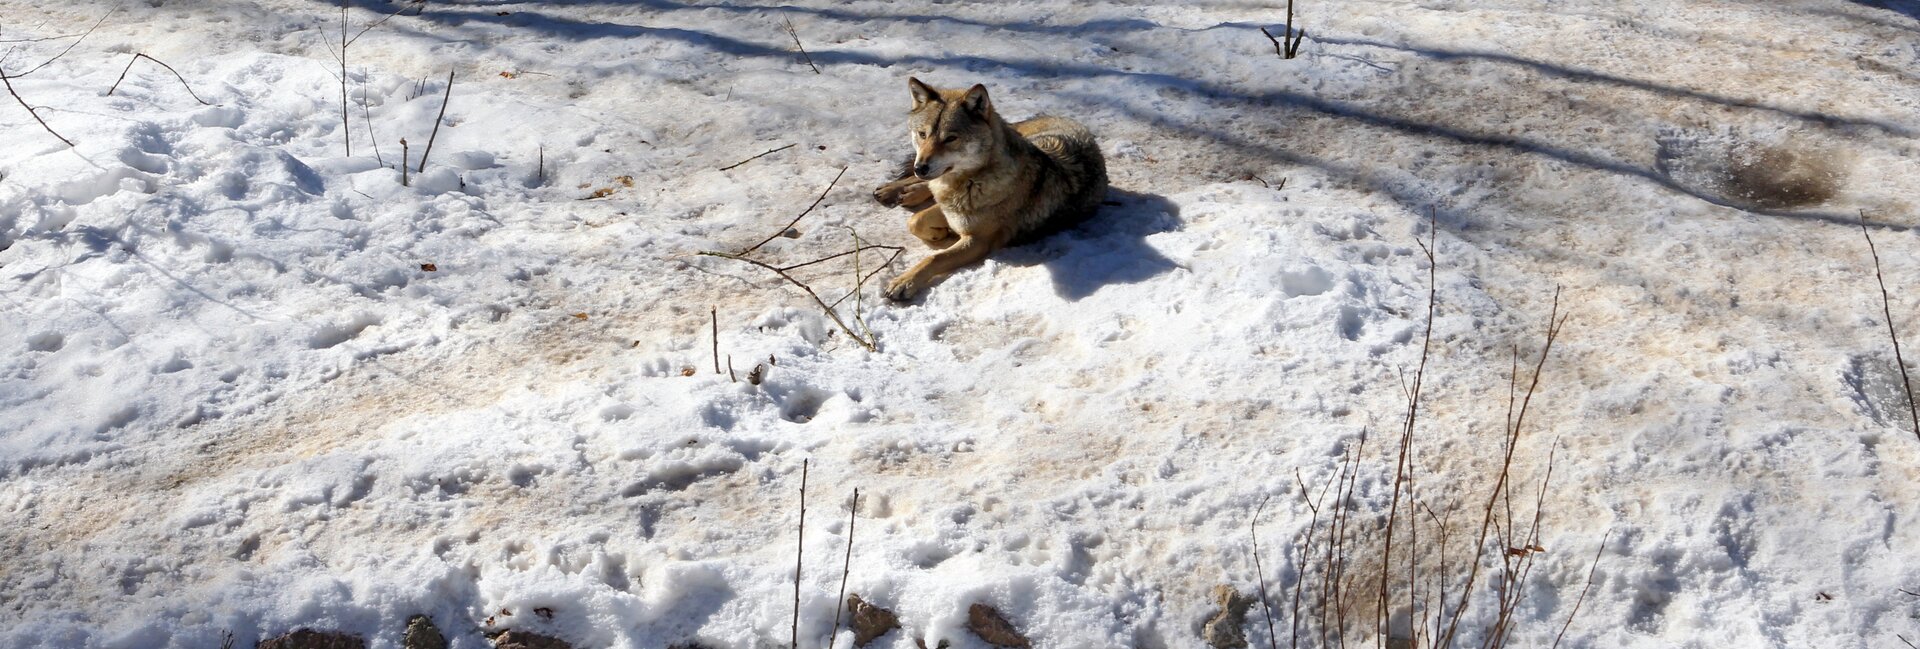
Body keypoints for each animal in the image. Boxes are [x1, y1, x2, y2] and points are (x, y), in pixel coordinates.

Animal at [875, 77, 1113, 299]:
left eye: (950, 138)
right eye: (922, 134)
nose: (921, 167)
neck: (973, 180)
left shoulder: (978, 241)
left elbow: (934, 256)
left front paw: (905, 281)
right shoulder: (951, 208)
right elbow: (916, 220)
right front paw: (936, 232)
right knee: (918, 184)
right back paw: (892, 190)